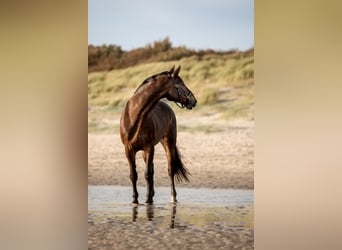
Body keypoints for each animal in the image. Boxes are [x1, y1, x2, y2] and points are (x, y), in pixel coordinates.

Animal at [119, 65, 196, 204]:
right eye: (179, 84)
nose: (193, 101)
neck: (134, 116)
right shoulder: (129, 150)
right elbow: (134, 175)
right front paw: (135, 200)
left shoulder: (149, 147)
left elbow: (147, 174)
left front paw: (148, 200)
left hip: (168, 142)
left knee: (170, 169)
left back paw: (173, 197)